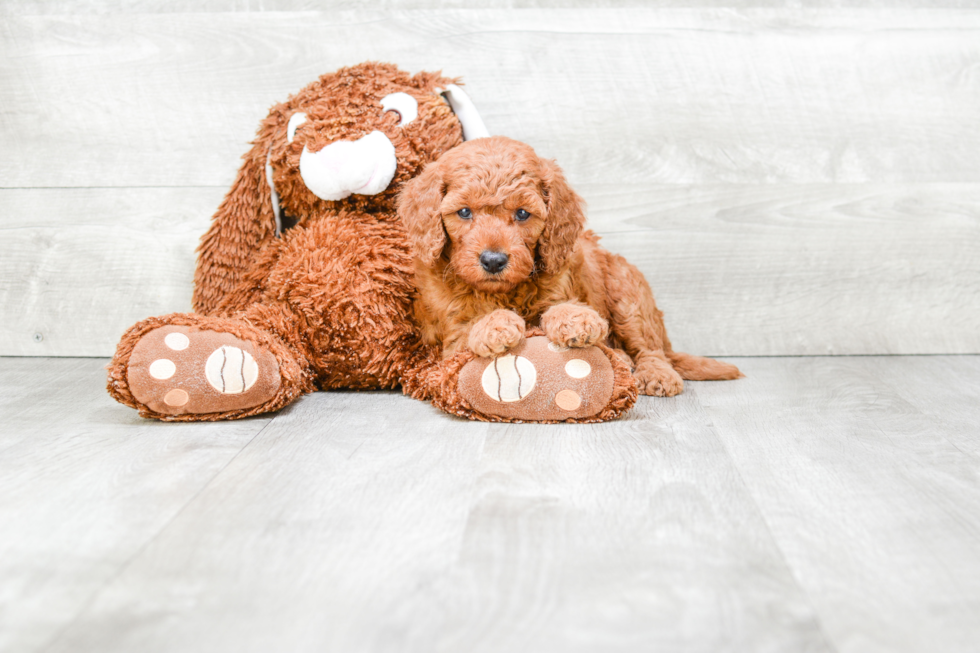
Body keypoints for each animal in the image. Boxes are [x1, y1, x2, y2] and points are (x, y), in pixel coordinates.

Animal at [394, 135, 740, 394]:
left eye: (522, 214)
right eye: (464, 212)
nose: (493, 260)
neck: (505, 291)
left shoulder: (561, 284)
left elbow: (556, 308)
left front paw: (575, 319)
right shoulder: (449, 336)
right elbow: (470, 329)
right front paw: (495, 324)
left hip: (628, 292)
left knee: (649, 348)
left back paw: (655, 373)